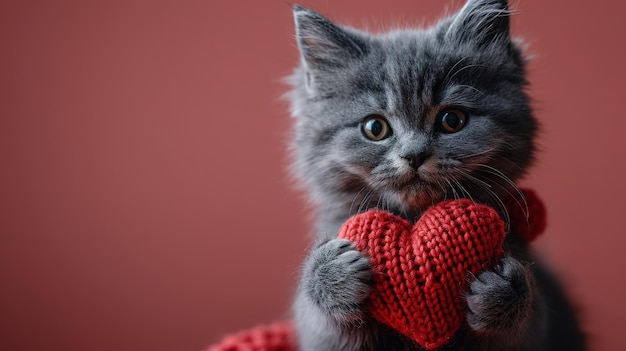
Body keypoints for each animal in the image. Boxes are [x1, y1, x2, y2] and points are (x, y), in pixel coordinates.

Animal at [286, 0, 584, 351]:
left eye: (452, 120)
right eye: (375, 128)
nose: (414, 154)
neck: (415, 218)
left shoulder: (535, 331)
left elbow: (522, 325)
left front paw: (501, 288)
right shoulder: (324, 338)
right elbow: (323, 324)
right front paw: (332, 271)